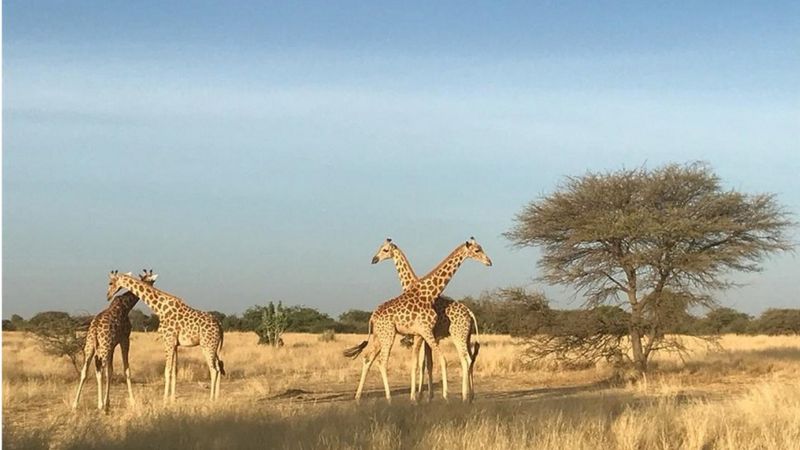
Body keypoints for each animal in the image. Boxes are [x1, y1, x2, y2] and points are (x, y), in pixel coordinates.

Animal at [72, 268, 159, 412]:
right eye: (152, 281)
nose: (152, 291)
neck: (125, 306)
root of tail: (95, 329)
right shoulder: (124, 339)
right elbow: (126, 370)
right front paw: (132, 402)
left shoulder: (113, 345)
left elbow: (111, 371)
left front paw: (108, 402)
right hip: (104, 347)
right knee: (100, 369)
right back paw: (100, 405)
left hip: (90, 346)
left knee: (86, 371)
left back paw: (75, 404)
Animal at [106, 270, 225, 400]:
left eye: (110, 282)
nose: (108, 295)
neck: (160, 308)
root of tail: (219, 325)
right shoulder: (175, 344)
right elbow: (174, 370)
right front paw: (172, 399)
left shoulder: (168, 341)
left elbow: (167, 371)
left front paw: (164, 400)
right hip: (214, 346)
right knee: (218, 367)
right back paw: (217, 397)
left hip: (207, 345)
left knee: (214, 370)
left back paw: (211, 399)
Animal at [342, 237, 490, 402]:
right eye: (477, 250)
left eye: (385, 249)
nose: (489, 261)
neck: (426, 292)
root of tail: (470, 312)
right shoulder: (422, 333)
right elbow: (426, 363)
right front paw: (425, 396)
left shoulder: (422, 334)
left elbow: (422, 363)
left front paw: (422, 396)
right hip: (390, 335)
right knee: (378, 361)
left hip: (459, 334)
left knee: (467, 359)